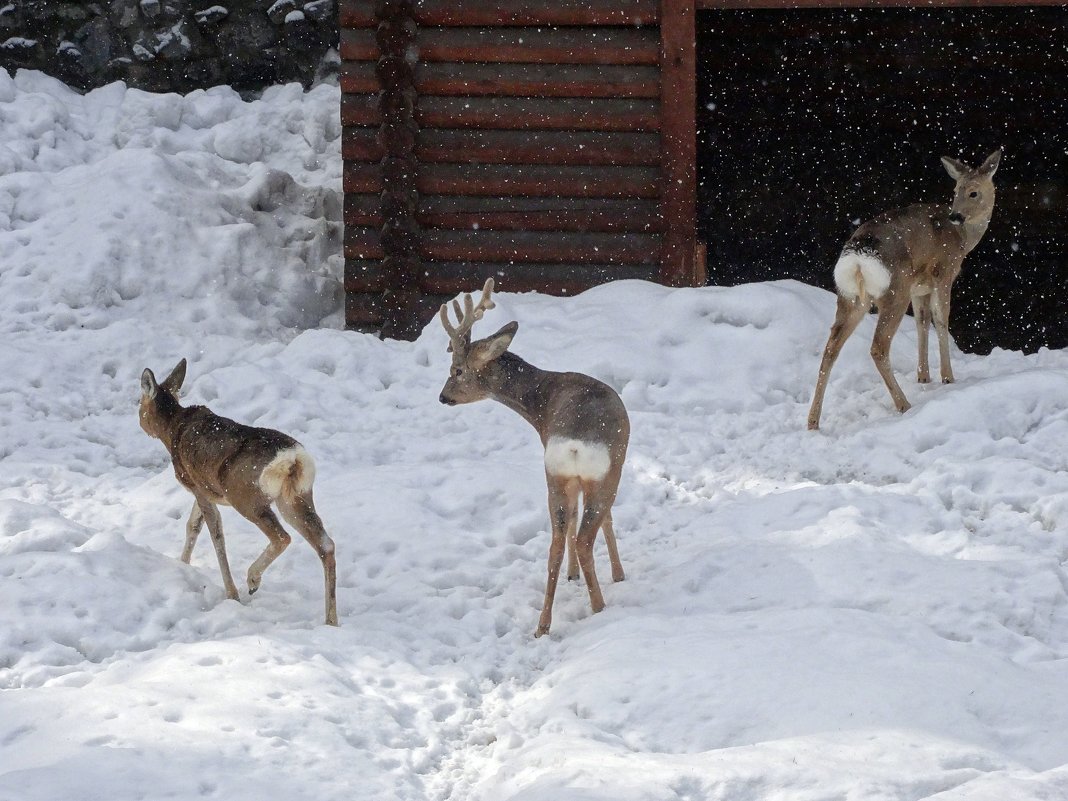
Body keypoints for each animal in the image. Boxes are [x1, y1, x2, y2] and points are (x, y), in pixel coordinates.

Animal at [138, 360, 337, 632]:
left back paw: (252, 580)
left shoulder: (196, 485)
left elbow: (215, 534)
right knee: (326, 545)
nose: (140, 420)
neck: (171, 431)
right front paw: (183, 563)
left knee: (282, 536)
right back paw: (332, 621)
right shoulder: (205, 489)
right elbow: (193, 525)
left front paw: (231, 594)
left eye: (139, 401)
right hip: (297, 496)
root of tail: (293, 460)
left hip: (246, 497)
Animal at [437, 281, 627, 640]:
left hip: (554, 475)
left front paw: (573, 576)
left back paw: (543, 625)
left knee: (555, 544)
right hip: (604, 475)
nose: (442, 397)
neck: (541, 404)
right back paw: (599, 606)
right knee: (585, 536)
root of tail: (574, 444)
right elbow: (608, 521)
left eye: (457, 370)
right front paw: (619, 575)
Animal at [807, 146, 999, 429]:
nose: (956, 215)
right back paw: (904, 404)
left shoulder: (920, 288)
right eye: (957, 191)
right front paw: (947, 377)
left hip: (851, 296)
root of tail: (858, 259)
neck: (964, 240)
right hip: (894, 291)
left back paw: (812, 420)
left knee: (831, 347)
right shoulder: (944, 273)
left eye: (972, 192)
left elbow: (922, 322)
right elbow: (941, 320)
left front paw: (923, 377)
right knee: (878, 347)